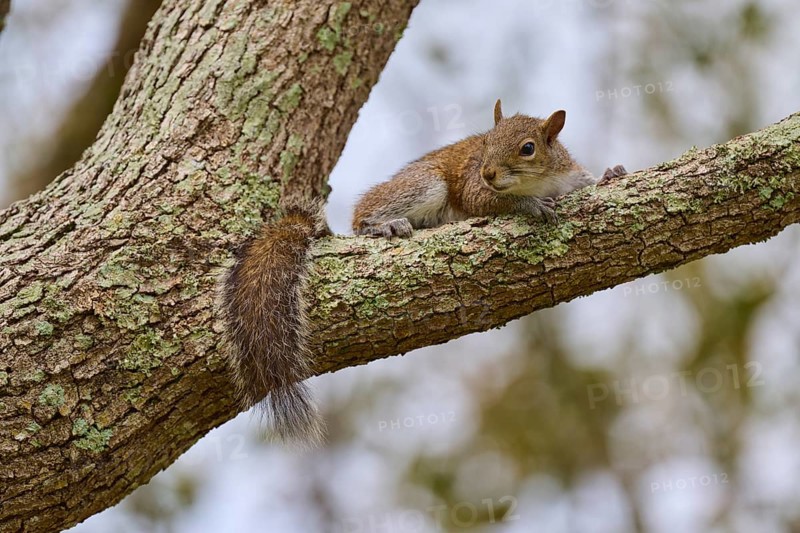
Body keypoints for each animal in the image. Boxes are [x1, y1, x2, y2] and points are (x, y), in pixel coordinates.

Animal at [353, 99, 626, 237]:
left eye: (528, 148)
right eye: (486, 141)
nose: (487, 173)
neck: (538, 182)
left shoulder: (569, 177)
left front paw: (609, 174)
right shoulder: (473, 189)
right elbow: (495, 200)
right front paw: (532, 204)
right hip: (425, 184)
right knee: (359, 218)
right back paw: (382, 225)